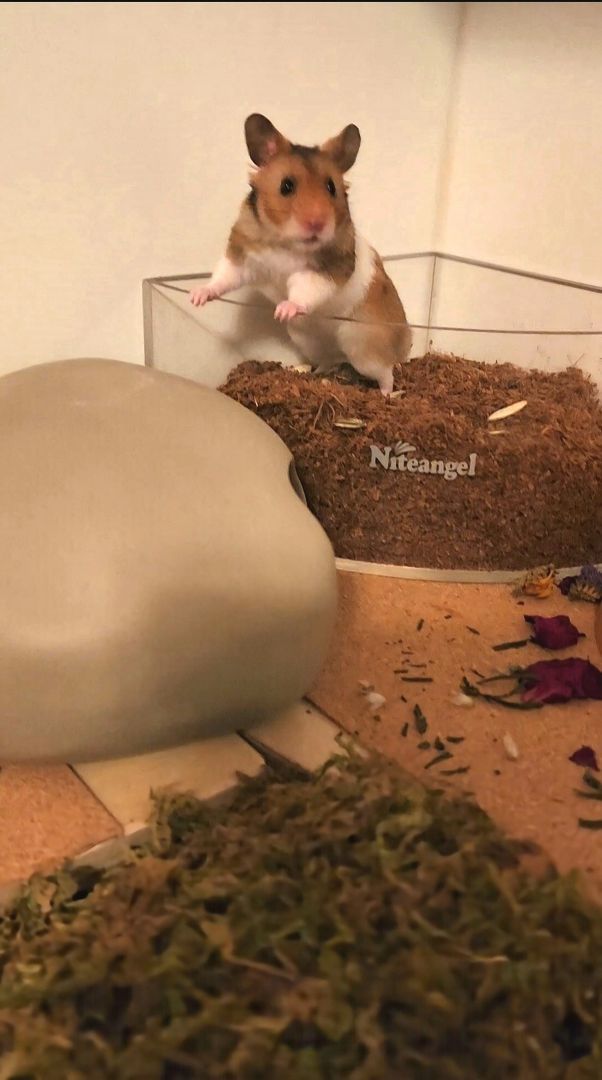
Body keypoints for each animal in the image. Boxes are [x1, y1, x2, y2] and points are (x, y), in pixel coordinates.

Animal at [190, 114, 412, 395]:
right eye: (286, 186)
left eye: (331, 187)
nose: (317, 224)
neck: (285, 242)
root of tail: (405, 338)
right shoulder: (241, 257)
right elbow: (223, 278)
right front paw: (196, 297)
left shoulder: (325, 271)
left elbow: (304, 289)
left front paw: (283, 310)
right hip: (310, 341)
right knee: (328, 360)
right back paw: (308, 372)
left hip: (364, 348)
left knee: (386, 373)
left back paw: (390, 395)